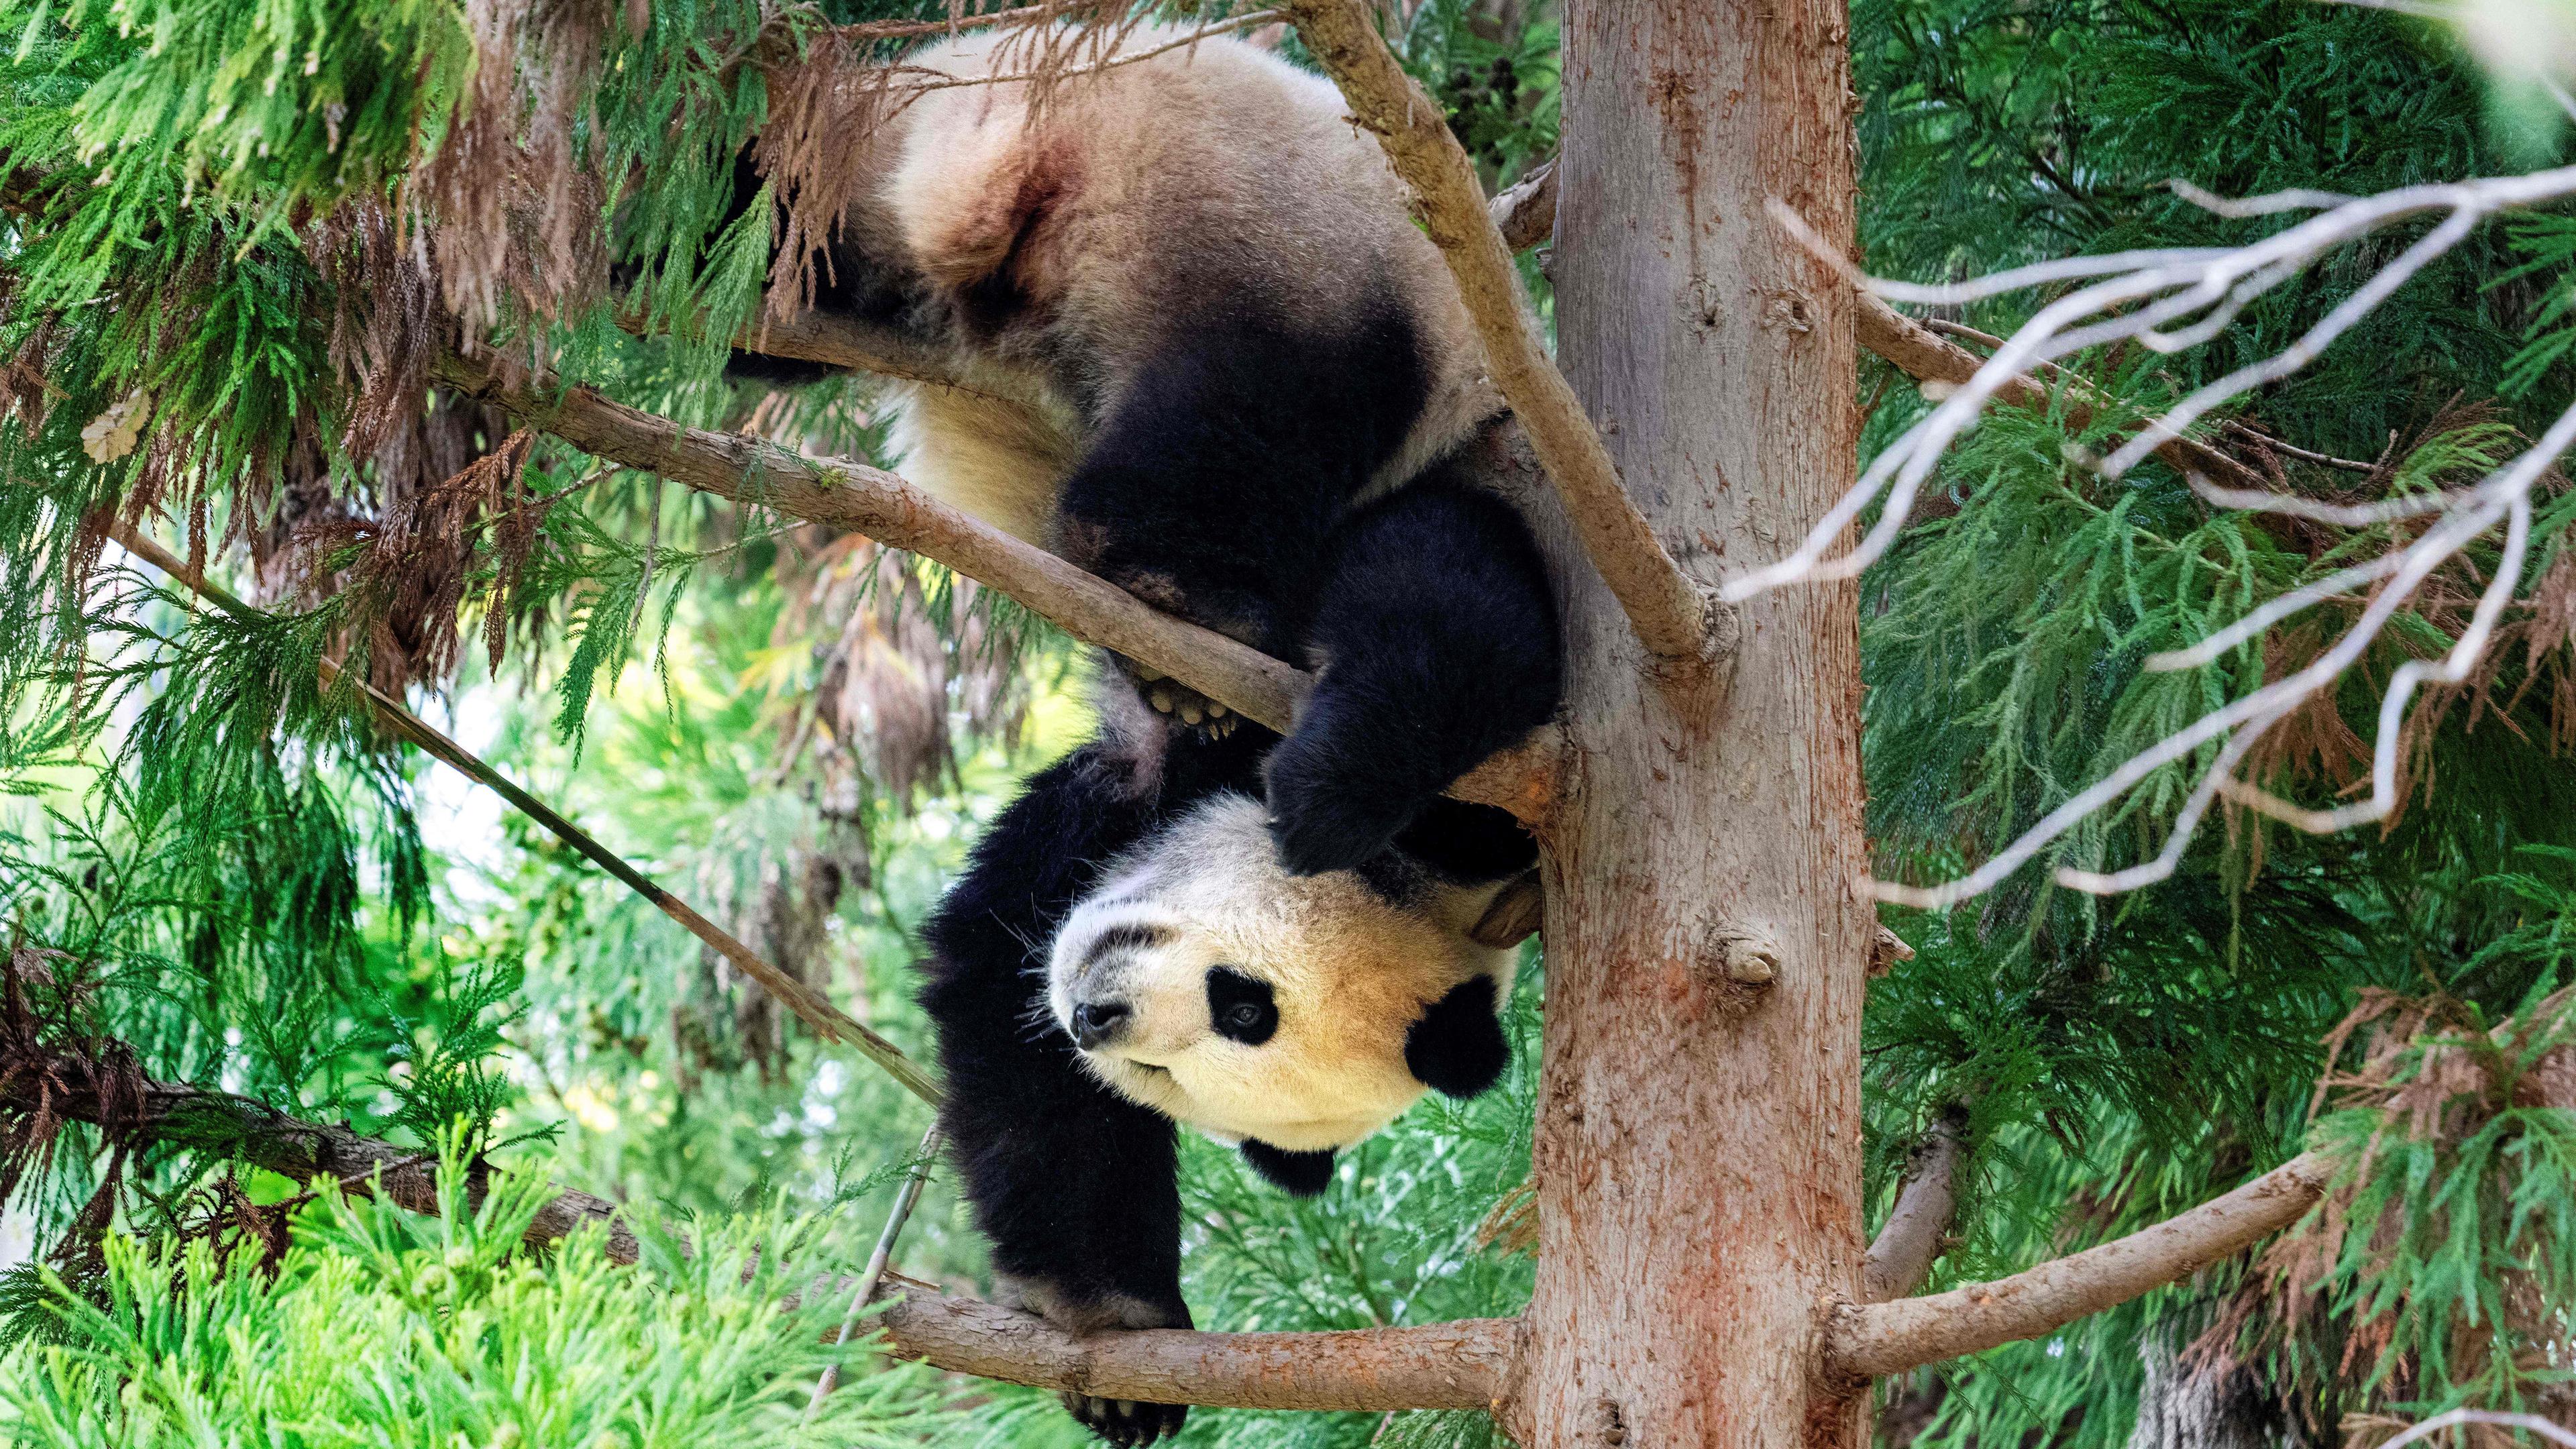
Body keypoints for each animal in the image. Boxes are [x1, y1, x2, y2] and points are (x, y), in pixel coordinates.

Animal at [737, 25, 1556, 866]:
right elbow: (1455, 620)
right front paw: (1325, 806)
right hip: (1281, 249)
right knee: (1259, 412)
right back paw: (1178, 593)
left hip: (883, 163)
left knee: (799, 225)